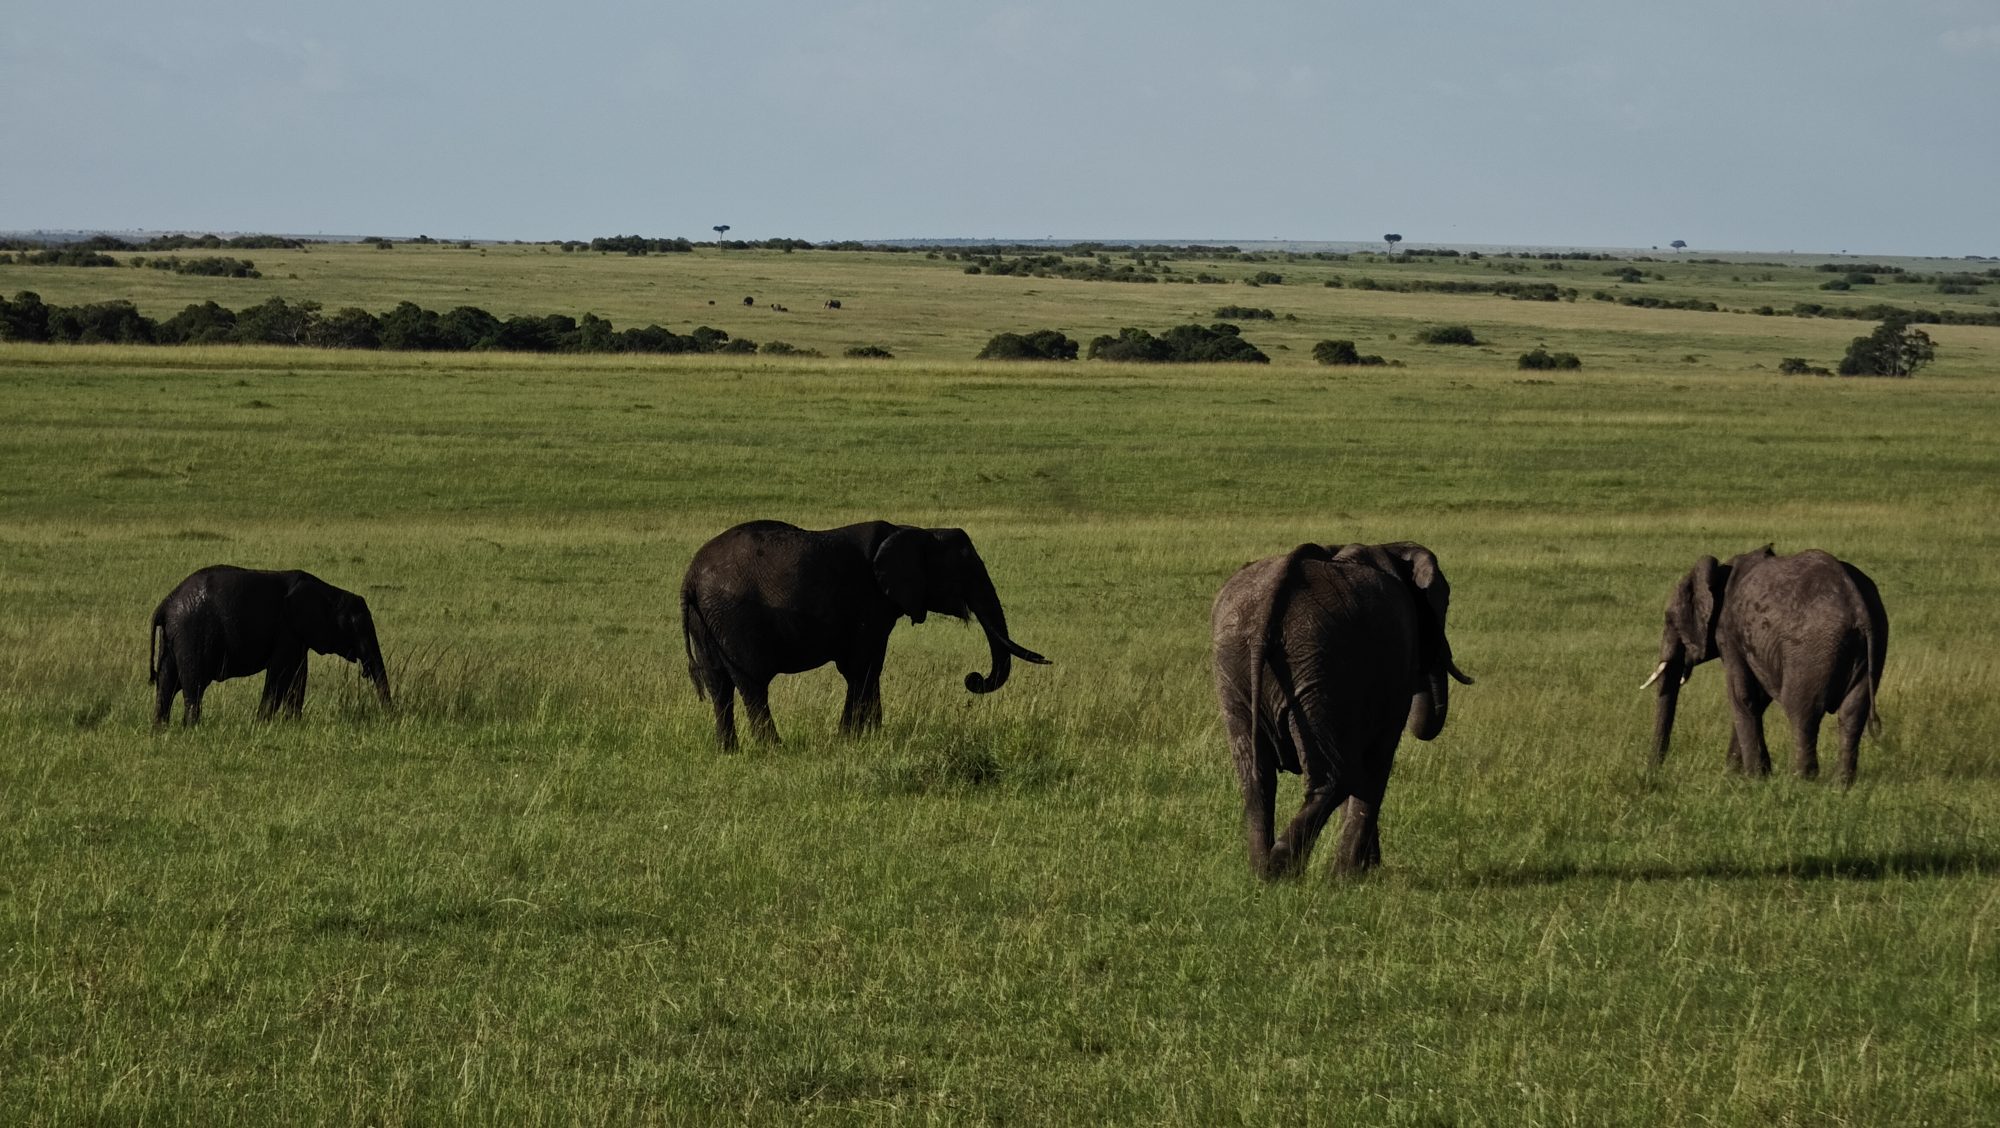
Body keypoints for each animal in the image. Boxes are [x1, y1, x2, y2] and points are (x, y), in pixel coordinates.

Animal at [150, 565, 391, 725]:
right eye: (356, 629)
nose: (391, 717)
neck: (329, 592)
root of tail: (165, 603)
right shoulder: (286, 630)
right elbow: (279, 675)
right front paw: (262, 724)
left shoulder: (297, 636)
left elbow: (299, 676)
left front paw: (293, 724)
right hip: (192, 634)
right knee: (194, 683)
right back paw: (192, 728)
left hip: (172, 638)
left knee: (166, 682)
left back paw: (161, 729)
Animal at [680, 520, 1050, 748]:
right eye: (964, 573)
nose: (973, 679)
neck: (916, 531)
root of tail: (691, 578)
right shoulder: (868, 602)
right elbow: (863, 666)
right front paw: (854, 739)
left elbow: (867, 668)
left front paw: (868, 736)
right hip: (735, 618)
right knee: (753, 685)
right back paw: (774, 748)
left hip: (708, 622)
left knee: (719, 685)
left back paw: (729, 751)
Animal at [1211, 541, 1473, 880]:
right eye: (1445, 601)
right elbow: (1377, 761)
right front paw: (1352, 876)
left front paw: (1364, 870)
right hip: (1320, 661)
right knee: (1335, 776)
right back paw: (1282, 868)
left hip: (1235, 661)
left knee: (1255, 775)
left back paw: (1261, 872)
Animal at [1646, 545, 1886, 785]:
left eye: (1669, 620)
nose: (1655, 770)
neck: (1720, 572)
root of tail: (1858, 606)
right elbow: (1758, 698)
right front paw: (1737, 773)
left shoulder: (1728, 633)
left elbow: (1742, 695)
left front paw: (1752, 777)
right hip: (1872, 646)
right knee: (1853, 713)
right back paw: (1841, 784)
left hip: (1810, 649)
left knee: (1803, 711)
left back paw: (1800, 780)